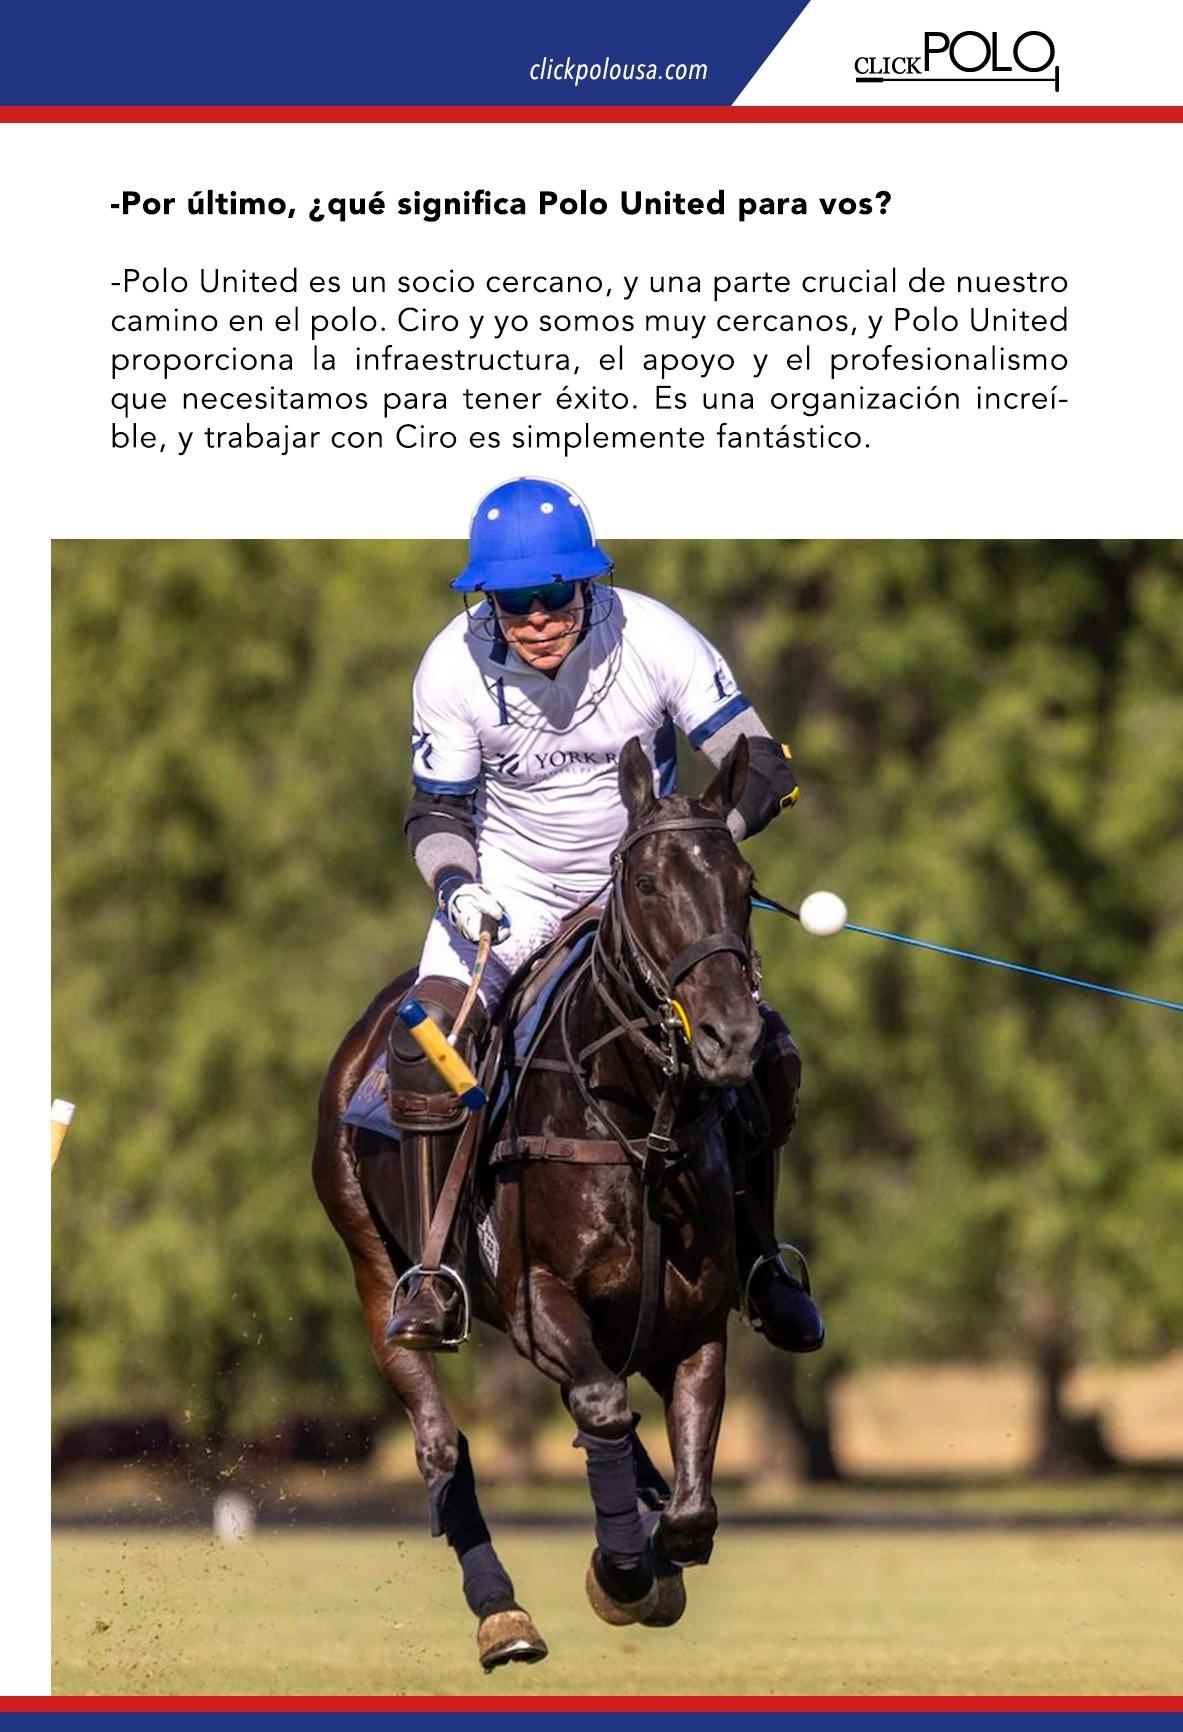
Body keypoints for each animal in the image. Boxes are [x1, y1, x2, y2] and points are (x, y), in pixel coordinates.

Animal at [313, 734, 765, 1670]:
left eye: (743, 883)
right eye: (646, 883)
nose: (730, 1039)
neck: (635, 1126)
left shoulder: (697, 1320)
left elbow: (693, 1506)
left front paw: (653, 1557)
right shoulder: (535, 1299)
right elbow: (600, 1408)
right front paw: (621, 1573)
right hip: (375, 1269)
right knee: (440, 1441)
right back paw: (501, 1613)